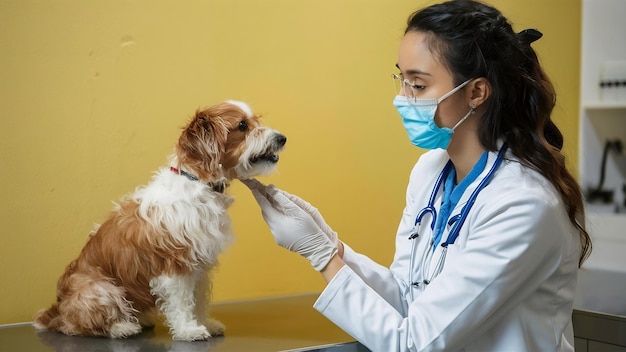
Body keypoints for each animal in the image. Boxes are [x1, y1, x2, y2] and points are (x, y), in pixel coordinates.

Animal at [33, 99, 286, 340]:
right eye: (242, 125)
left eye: (256, 120)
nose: (282, 138)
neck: (198, 183)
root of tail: (57, 310)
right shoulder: (176, 264)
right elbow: (182, 302)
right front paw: (188, 330)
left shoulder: (201, 266)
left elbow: (199, 300)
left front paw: (204, 323)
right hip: (100, 290)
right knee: (75, 326)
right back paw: (122, 327)